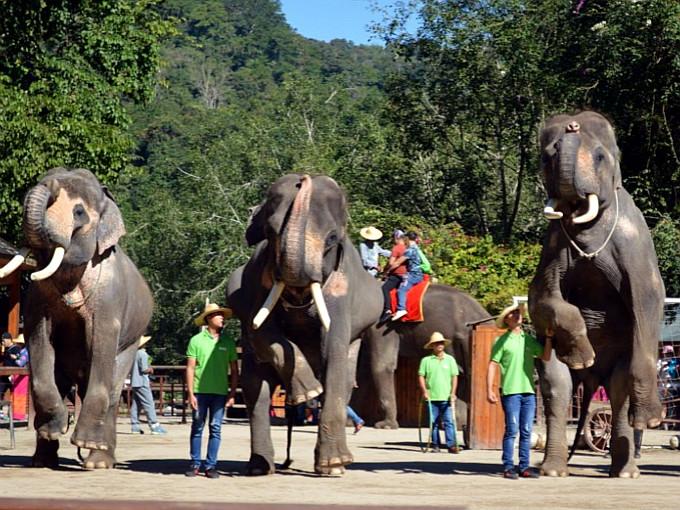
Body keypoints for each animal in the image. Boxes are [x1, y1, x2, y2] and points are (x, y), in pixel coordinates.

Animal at [0, 168, 153, 470]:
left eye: (79, 212)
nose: (49, 183)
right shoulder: (38, 298)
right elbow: (39, 337)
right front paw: (54, 431)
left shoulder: (109, 299)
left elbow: (103, 340)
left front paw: (85, 444)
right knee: (58, 381)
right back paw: (44, 460)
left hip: (132, 342)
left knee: (114, 389)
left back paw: (98, 461)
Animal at [227, 173, 382, 476]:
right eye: (271, 231)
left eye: (332, 238)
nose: (304, 178)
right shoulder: (255, 283)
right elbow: (259, 329)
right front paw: (309, 391)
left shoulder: (341, 291)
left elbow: (334, 351)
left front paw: (331, 465)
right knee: (256, 390)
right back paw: (260, 468)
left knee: (345, 380)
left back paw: (337, 465)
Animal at [358, 282, 492, 430]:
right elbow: (362, 369)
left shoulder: (382, 325)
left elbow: (381, 365)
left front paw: (385, 426)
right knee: (461, 375)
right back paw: (457, 425)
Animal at [524, 111, 664, 478]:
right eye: (546, 157)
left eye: (600, 157)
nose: (571, 126)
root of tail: (592, 383)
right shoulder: (552, 245)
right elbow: (539, 297)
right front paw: (582, 354)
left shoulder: (635, 243)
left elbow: (648, 301)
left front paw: (652, 419)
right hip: (552, 363)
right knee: (557, 386)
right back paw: (553, 471)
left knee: (617, 389)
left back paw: (626, 472)